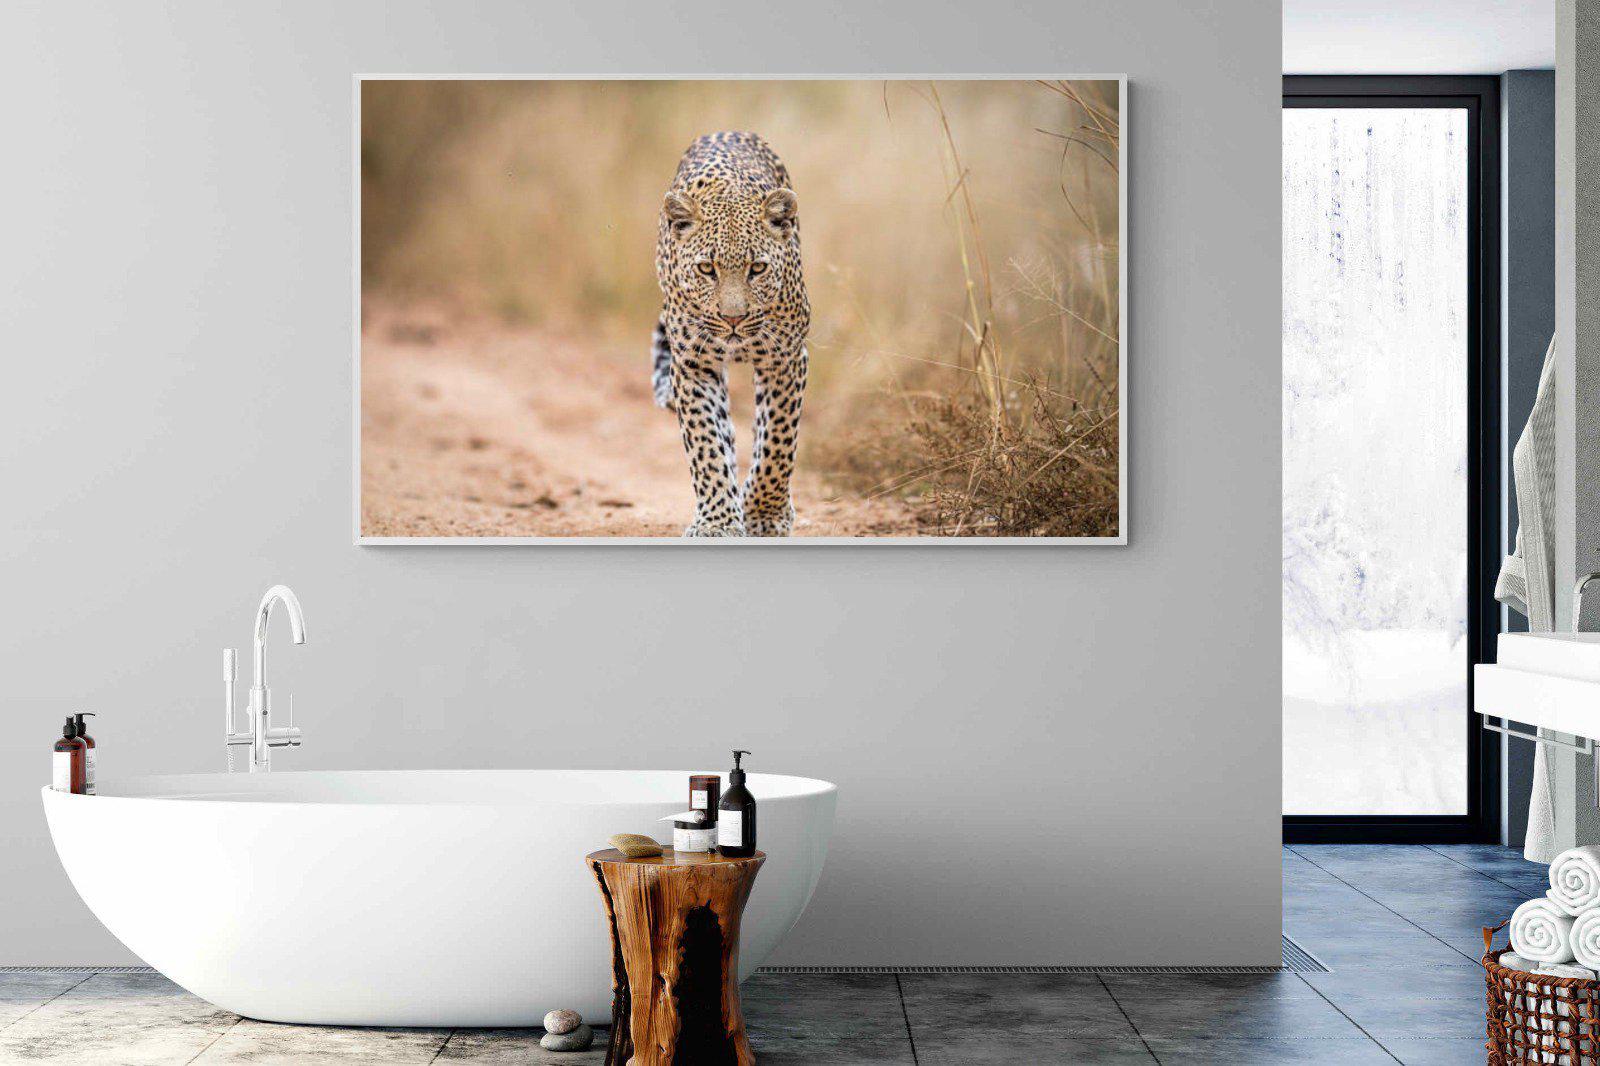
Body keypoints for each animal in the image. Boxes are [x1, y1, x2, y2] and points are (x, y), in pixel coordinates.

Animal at [652, 131, 810, 537]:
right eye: (707, 269)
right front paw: (717, 523)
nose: (733, 318)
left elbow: (778, 442)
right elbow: (706, 444)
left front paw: (764, 515)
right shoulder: (692, 365)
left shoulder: (786, 358)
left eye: (758, 268)